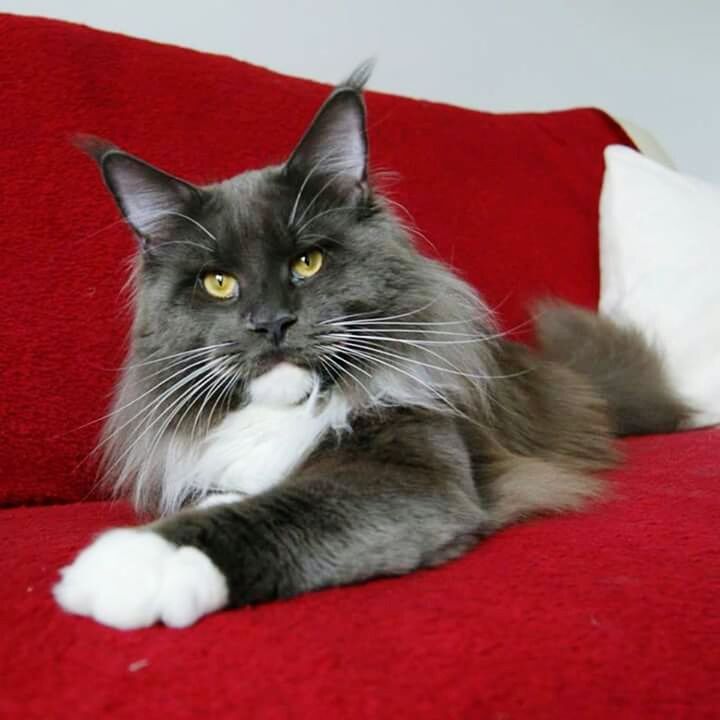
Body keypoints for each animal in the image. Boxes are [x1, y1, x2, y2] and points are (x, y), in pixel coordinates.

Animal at [52, 66, 688, 632]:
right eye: (219, 283)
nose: (271, 322)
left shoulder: (413, 471)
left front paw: (134, 562)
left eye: (308, 262)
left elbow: (280, 510)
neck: (287, 411)